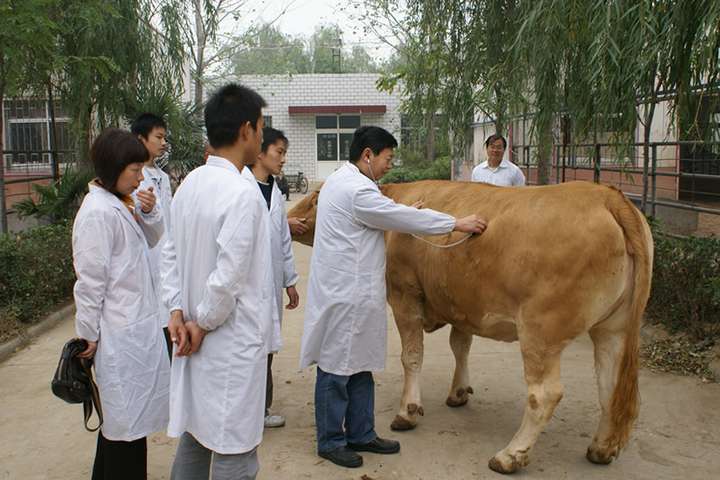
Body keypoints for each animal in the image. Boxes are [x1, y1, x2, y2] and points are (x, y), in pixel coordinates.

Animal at [286, 181, 652, 476]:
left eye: (315, 197)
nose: (290, 218)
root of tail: (607, 195)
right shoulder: (462, 304)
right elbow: (459, 345)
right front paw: (458, 392)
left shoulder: (405, 296)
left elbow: (412, 356)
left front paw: (408, 411)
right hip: (613, 328)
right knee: (609, 387)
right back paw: (601, 449)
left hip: (540, 332)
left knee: (545, 394)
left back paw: (509, 456)